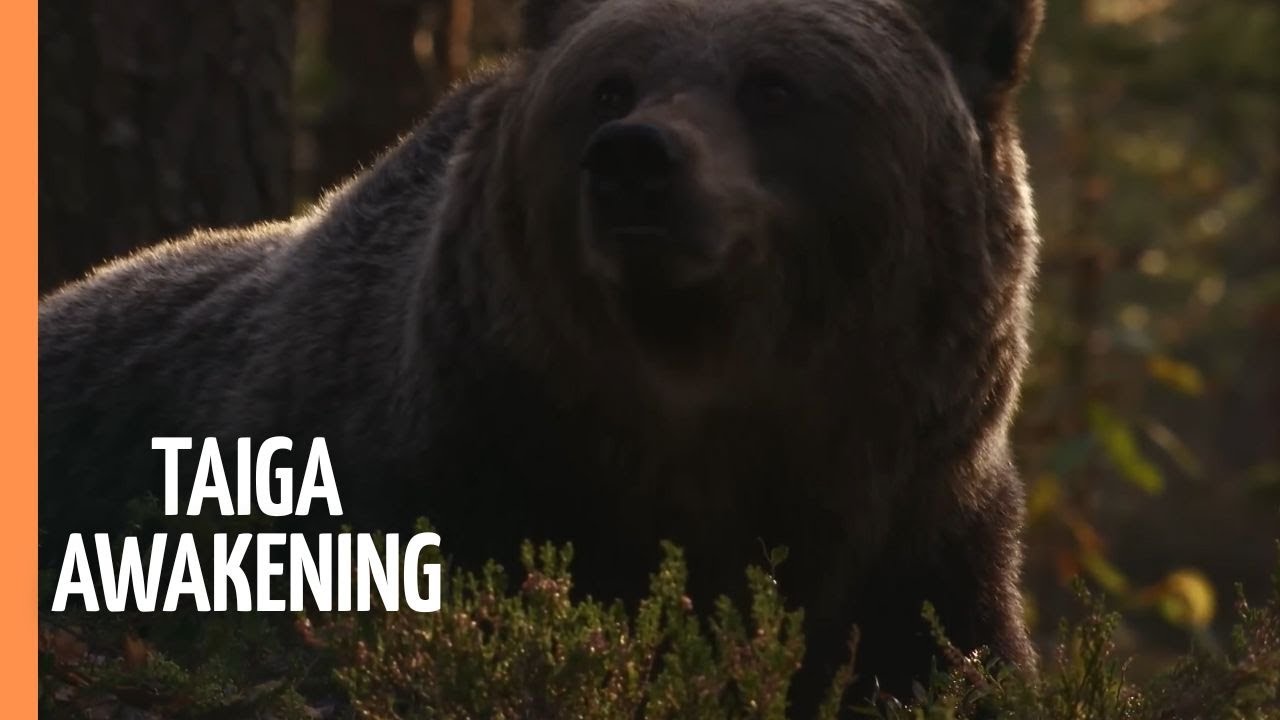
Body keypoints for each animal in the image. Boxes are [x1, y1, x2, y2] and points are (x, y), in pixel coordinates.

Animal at [40, 0, 1044, 710]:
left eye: (772, 85)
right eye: (611, 84)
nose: (635, 158)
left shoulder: (921, 526)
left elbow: (947, 659)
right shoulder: (442, 477)